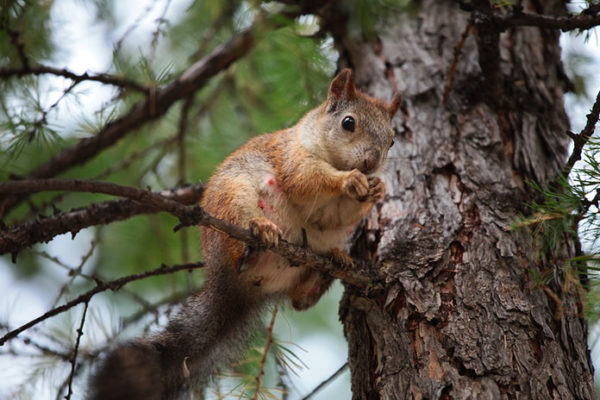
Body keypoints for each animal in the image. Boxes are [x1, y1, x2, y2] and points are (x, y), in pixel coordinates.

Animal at [89, 69, 400, 400]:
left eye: (392, 140)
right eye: (348, 122)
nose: (371, 162)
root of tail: (231, 282)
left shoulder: (338, 214)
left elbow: (339, 215)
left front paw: (376, 189)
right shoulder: (291, 156)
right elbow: (306, 180)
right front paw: (348, 180)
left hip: (316, 250)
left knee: (300, 299)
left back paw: (332, 263)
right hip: (233, 198)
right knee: (246, 246)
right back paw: (260, 235)